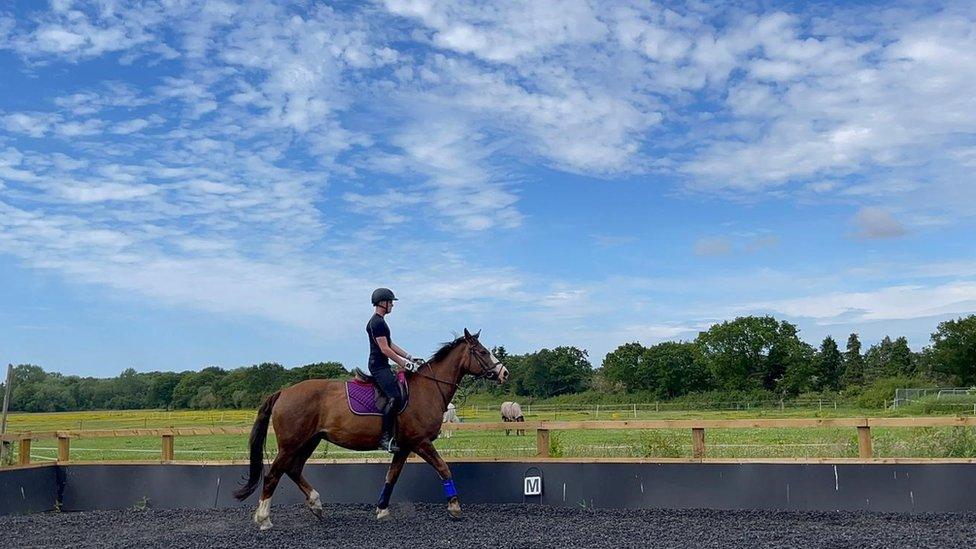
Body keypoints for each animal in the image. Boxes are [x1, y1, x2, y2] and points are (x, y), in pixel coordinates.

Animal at [231, 328, 504, 528]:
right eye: (482, 351)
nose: (504, 373)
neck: (428, 389)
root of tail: (283, 392)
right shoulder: (421, 442)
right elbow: (444, 468)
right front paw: (455, 507)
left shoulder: (405, 446)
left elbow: (391, 476)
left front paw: (382, 510)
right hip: (291, 443)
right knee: (273, 474)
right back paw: (264, 519)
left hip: (310, 440)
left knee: (293, 469)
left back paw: (316, 505)